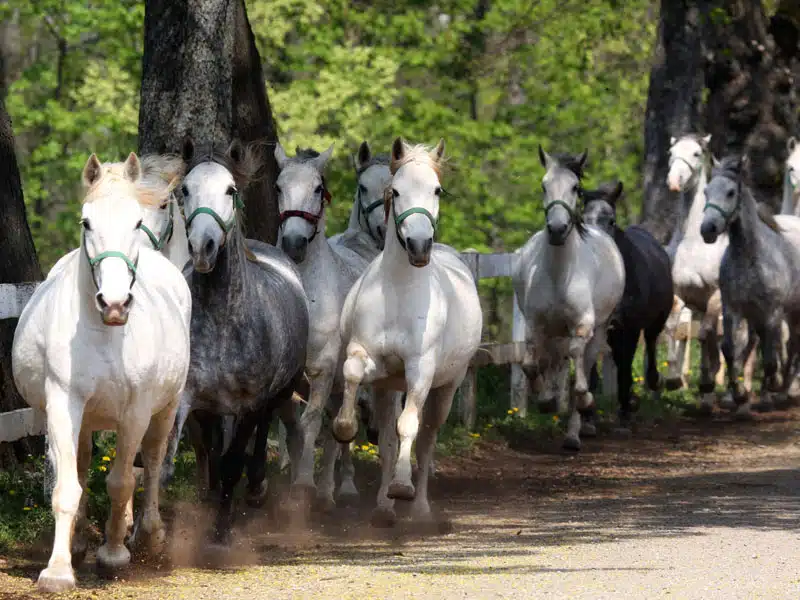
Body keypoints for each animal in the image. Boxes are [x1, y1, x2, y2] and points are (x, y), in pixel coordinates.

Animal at [14, 152, 193, 592]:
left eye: (135, 222)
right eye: (86, 222)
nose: (114, 303)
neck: (105, 333)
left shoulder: (136, 412)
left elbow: (121, 481)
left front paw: (113, 554)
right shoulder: (63, 404)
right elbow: (68, 486)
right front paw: (59, 569)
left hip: (165, 409)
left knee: (152, 462)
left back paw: (148, 534)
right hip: (85, 417)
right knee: (80, 463)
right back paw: (80, 542)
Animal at [272, 142, 378, 510]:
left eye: (318, 188)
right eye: (278, 187)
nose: (293, 243)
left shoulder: (322, 369)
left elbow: (312, 423)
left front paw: (304, 485)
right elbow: (291, 426)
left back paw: (335, 489)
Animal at [332, 137, 482, 524]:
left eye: (437, 190)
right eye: (395, 190)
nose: (418, 246)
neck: (399, 290)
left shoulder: (421, 371)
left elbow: (408, 427)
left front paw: (402, 487)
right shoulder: (372, 362)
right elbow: (353, 373)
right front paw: (345, 427)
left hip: (447, 387)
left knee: (427, 441)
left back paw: (419, 509)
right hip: (388, 388)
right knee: (387, 438)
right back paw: (384, 508)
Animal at [512, 148, 624, 450]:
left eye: (576, 187)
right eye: (543, 185)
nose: (557, 229)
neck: (560, 274)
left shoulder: (582, 327)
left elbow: (579, 379)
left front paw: (584, 401)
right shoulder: (535, 325)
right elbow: (531, 364)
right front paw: (545, 401)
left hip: (598, 330)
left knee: (580, 363)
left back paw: (573, 436)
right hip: (555, 331)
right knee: (555, 362)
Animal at [580, 180, 676, 428]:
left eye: (611, 220)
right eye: (583, 220)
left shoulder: (629, 328)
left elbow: (624, 367)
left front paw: (625, 409)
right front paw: (588, 415)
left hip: (655, 321)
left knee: (650, 343)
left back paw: (651, 383)